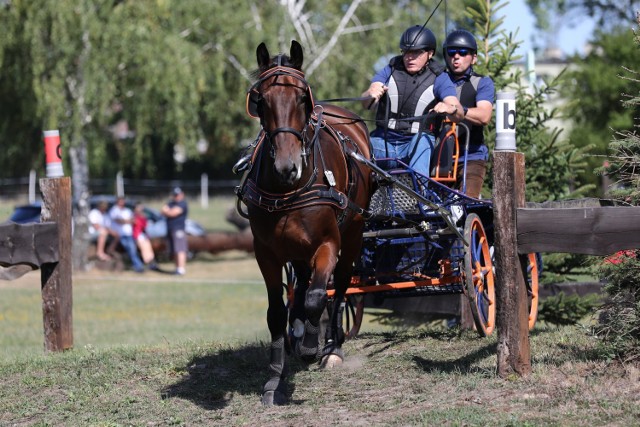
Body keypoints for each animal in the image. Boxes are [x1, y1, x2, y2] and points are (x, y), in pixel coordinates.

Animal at [238, 41, 372, 406]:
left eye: (301, 98)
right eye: (260, 100)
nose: (287, 167)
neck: (289, 188)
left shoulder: (329, 243)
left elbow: (318, 296)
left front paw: (314, 345)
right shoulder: (266, 253)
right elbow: (276, 312)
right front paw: (275, 379)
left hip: (353, 234)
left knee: (339, 286)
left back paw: (331, 347)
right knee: (300, 284)